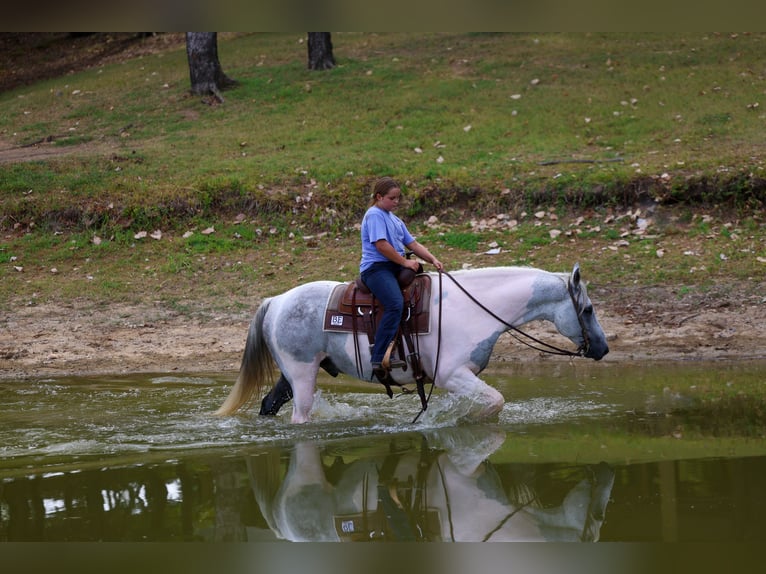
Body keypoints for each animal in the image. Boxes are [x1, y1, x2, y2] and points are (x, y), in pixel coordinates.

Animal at [215, 264, 609, 423]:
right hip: (301, 375)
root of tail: (277, 300)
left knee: (269, 405)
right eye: (588, 309)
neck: (474, 306)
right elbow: (495, 402)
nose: (603, 348)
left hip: (291, 375)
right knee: (299, 416)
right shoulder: (453, 375)